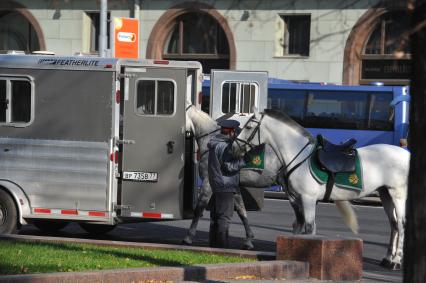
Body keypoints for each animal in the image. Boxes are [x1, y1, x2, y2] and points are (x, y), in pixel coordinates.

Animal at [238, 108, 412, 270]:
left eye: (249, 126)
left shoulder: (308, 199)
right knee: (393, 224)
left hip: (398, 194)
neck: (299, 156)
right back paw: (387, 259)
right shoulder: (297, 199)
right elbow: (299, 226)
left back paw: (396, 261)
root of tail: (407, 154)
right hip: (385, 194)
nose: (236, 144)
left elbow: (309, 228)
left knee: (401, 224)